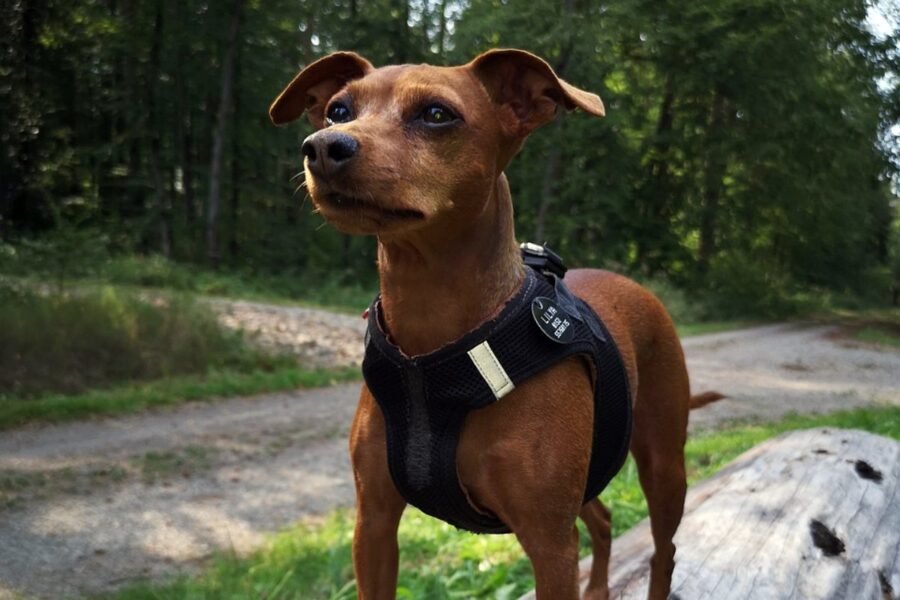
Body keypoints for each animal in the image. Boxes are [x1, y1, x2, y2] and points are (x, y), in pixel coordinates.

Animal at [268, 48, 724, 600]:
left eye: (437, 114)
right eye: (337, 111)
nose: (322, 148)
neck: (430, 351)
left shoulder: (549, 545)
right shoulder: (372, 524)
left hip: (663, 465)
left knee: (664, 551)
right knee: (603, 518)